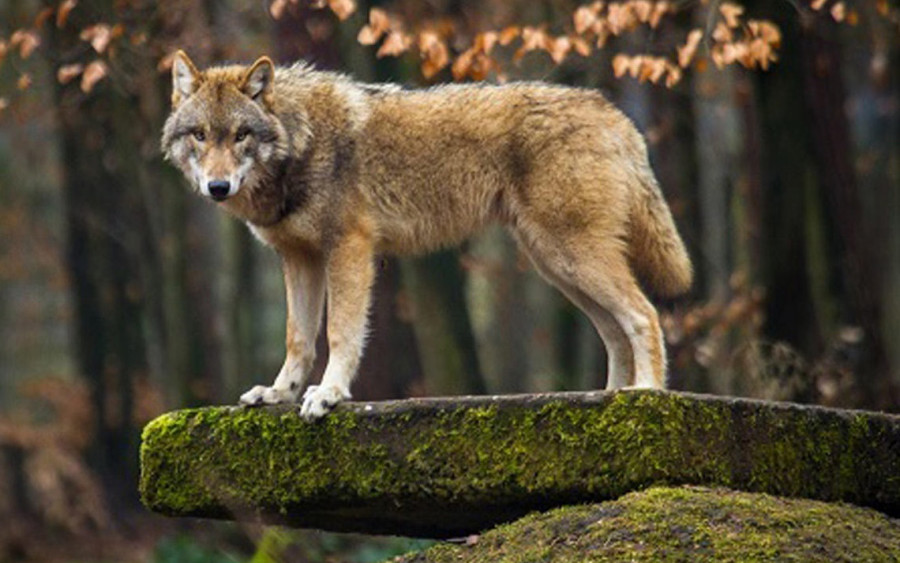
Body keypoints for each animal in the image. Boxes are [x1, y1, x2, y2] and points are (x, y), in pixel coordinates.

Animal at [162, 53, 692, 420]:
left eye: (240, 135)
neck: (301, 140)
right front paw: (278, 394)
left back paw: (646, 394)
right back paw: (608, 397)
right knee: (615, 330)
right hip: (557, 265)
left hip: (571, 257)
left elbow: (339, 333)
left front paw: (328, 394)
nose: (217, 187)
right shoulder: (299, 259)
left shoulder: (349, 249)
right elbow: (298, 338)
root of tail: (615, 115)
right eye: (200, 135)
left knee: (643, 315)